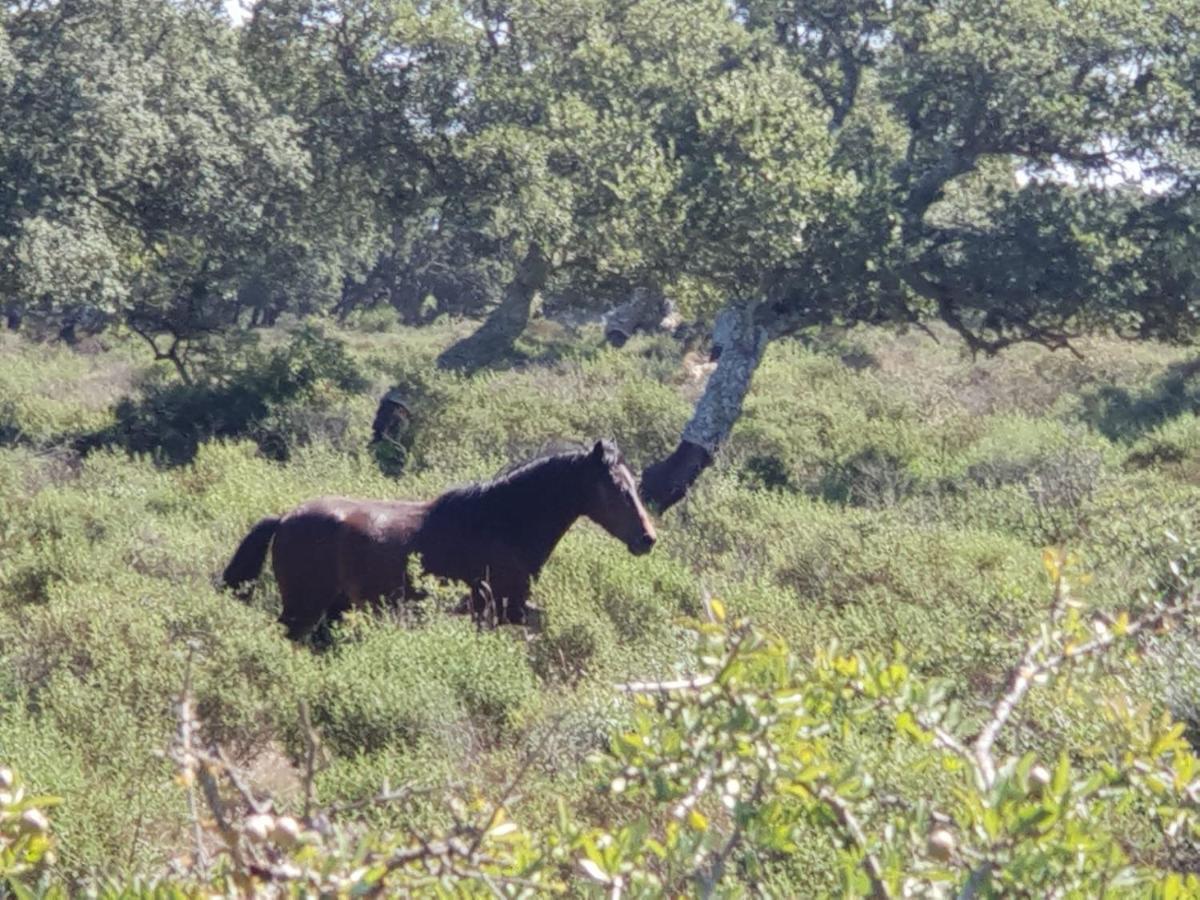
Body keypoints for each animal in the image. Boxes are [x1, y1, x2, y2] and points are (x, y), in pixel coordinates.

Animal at [225, 439, 657, 638]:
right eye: (616, 489)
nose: (647, 539)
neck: (501, 523)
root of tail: (284, 519)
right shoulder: (504, 607)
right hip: (303, 608)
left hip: (334, 608)